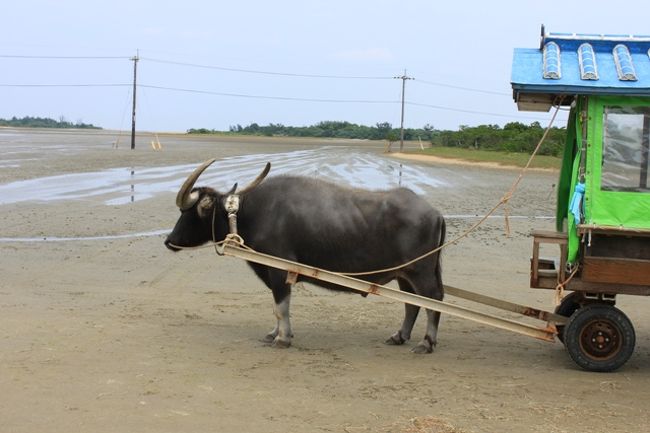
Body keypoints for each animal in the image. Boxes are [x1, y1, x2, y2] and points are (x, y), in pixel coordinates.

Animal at [165, 160, 442, 352]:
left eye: (190, 212)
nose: (169, 240)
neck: (253, 213)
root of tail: (434, 212)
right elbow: (276, 306)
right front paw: (274, 333)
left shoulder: (279, 271)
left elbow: (281, 306)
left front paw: (282, 338)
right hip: (405, 275)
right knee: (412, 304)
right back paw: (399, 336)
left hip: (422, 272)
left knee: (433, 301)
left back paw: (426, 342)